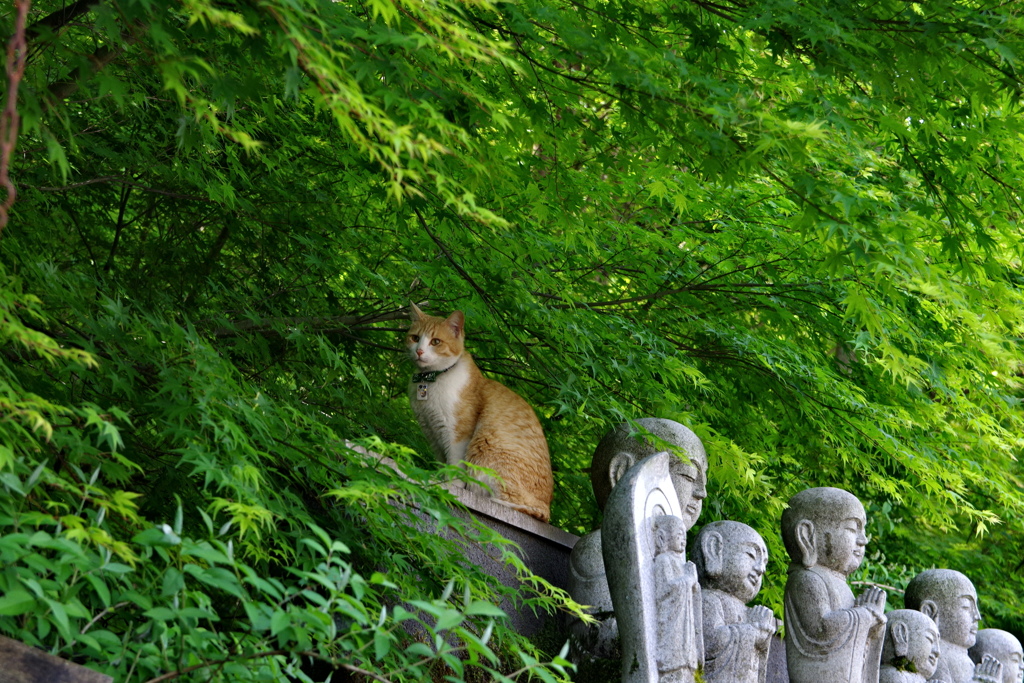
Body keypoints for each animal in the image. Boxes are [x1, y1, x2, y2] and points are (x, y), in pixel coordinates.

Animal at [405, 305, 557, 524]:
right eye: (415, 338)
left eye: (436, 342)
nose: (419, 351)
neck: (430, 381)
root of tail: (547, 507)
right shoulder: (433, 433)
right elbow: (442, 463)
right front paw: (438, 478)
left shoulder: (458, 433)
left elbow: (454, 464)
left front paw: (451, 485)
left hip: (488, 448)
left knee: (516, 504)